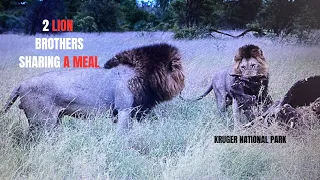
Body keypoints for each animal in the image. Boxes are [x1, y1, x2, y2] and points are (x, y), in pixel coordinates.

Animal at [1, 43, 185, 134]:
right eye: (178, 67)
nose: (184, 79)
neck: (144, 75)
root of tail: (21, 84)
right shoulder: (124, 110)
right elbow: (124, 136)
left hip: (54, 121)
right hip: (42, 122)